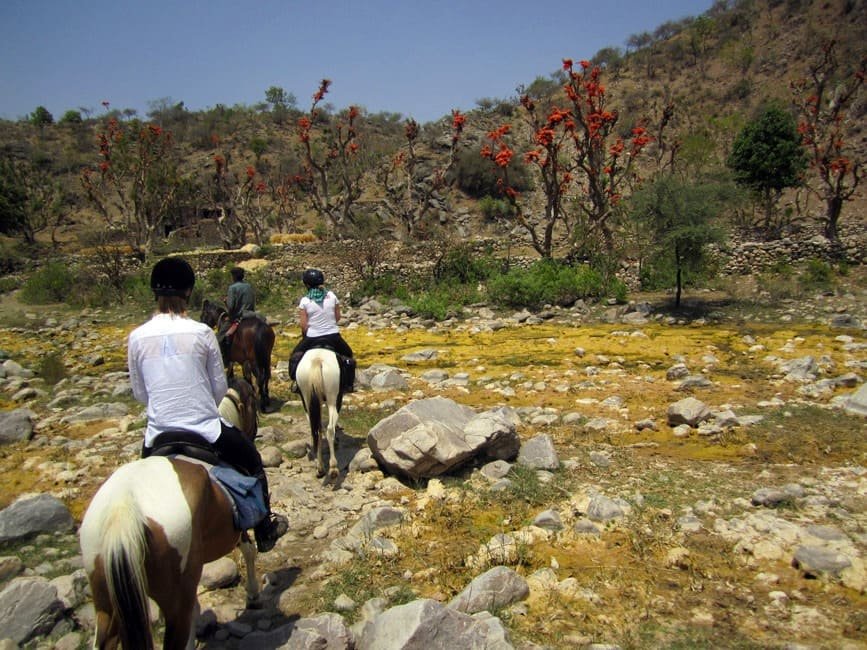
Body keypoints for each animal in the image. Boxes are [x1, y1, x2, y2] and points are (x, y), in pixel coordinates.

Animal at [79, 377, 262, 650]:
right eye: (252, 403)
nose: (254, 432)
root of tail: (124, 508)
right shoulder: (237, 524)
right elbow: (249, 550)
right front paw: (253, 595)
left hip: (106, 603)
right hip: (173, 600)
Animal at [296, 348, 342, 480]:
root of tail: (318, 359)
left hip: (307, 400)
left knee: (316, 431)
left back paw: (320, 468)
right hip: (333, 399)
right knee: (330, 429)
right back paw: (333, 468)